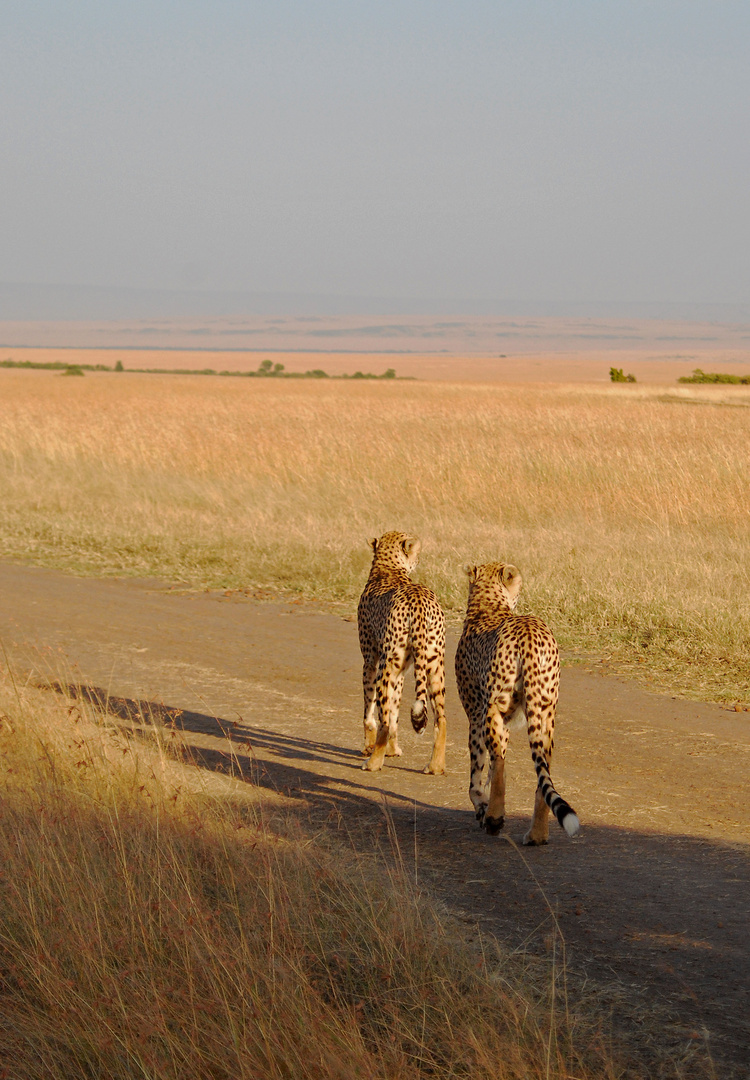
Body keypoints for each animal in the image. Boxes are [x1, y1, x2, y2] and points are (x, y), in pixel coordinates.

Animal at [358, 533, 447, 773]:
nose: (419, 559)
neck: (387, 568)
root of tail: (419, 599)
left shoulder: (371, 661)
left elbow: (371, 711)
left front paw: (370, 747)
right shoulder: (401, 671)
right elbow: (395, 712)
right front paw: (393, 750)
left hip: (385, 667)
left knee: (383, 721)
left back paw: (373, 762)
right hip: (434, 666)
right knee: (441, 719)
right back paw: (435, 766)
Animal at [451, 561, 583, 846]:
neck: (488, 605)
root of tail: (530, 630)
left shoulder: (477, 715)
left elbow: (479, 770)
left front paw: (482, 807)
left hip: (495, 707)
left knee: (501, 764)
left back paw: (494, 818)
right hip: (545, 714)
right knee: (543, 774)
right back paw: (537, 835)